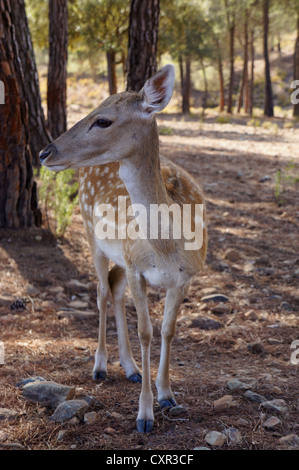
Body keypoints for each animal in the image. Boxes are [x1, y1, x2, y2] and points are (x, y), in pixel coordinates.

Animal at [39, 63, 209, 434]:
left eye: (103, 120)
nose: (45, 152)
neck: (166, 247)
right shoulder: (136, 267)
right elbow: (145, 331)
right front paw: (144, 416)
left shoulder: (185, 277)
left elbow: (168, 330)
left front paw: (167, 394)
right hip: (92, 236)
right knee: (102, 291)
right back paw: (101, 366)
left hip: (118, 254)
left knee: (114, 289)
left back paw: (130, 368)